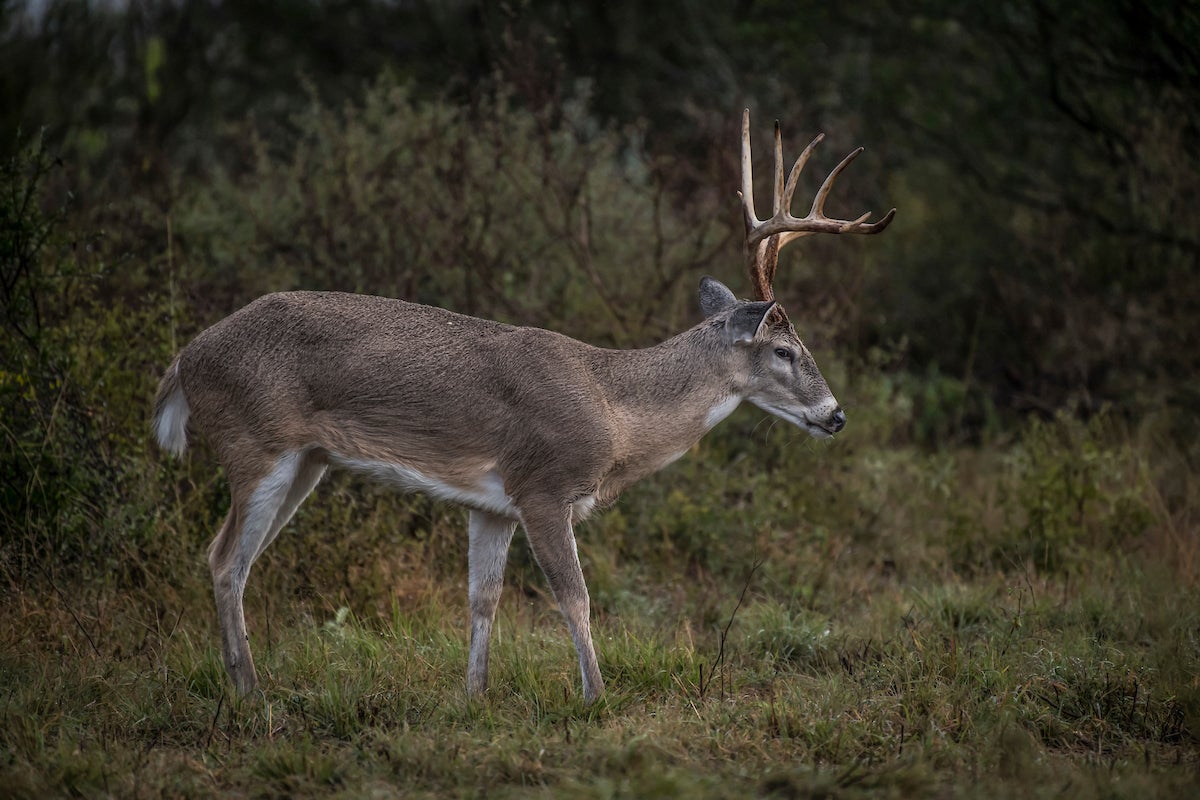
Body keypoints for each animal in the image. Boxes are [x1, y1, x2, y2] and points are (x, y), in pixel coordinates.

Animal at [154, 109, 892, 705]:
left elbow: (484, 599)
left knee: (238, 559)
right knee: (223, 558)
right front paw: (596, 697)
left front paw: (474, 696)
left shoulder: (492, 503)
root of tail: (184, 362)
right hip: (255, 443)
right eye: (785, 351)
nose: (836, 415)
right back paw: (249, 693)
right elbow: (576, 597)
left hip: (308, 461)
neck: (615, 407)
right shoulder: (543, 486)